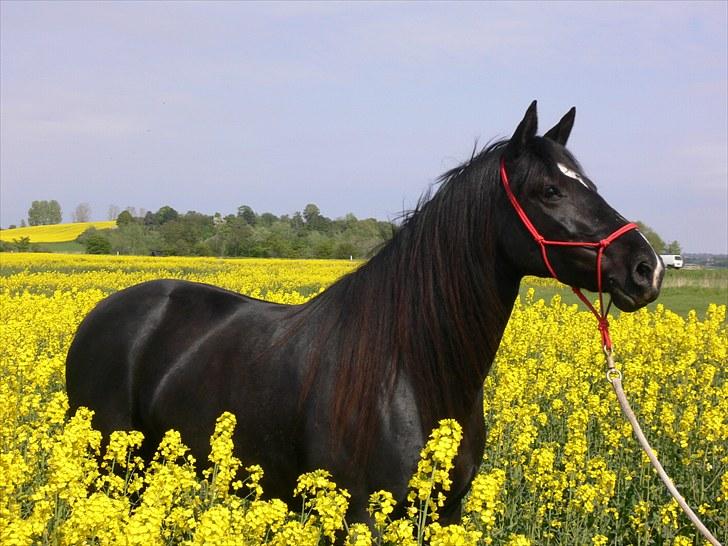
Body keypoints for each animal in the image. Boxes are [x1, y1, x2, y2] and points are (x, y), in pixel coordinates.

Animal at [65, 102, 664, 524]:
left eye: (590, 184)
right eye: (549, 190)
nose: (647, 268)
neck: (415, 371)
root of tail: (102, 312)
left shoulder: (445, 514)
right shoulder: (359, 516)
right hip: (108, 470)